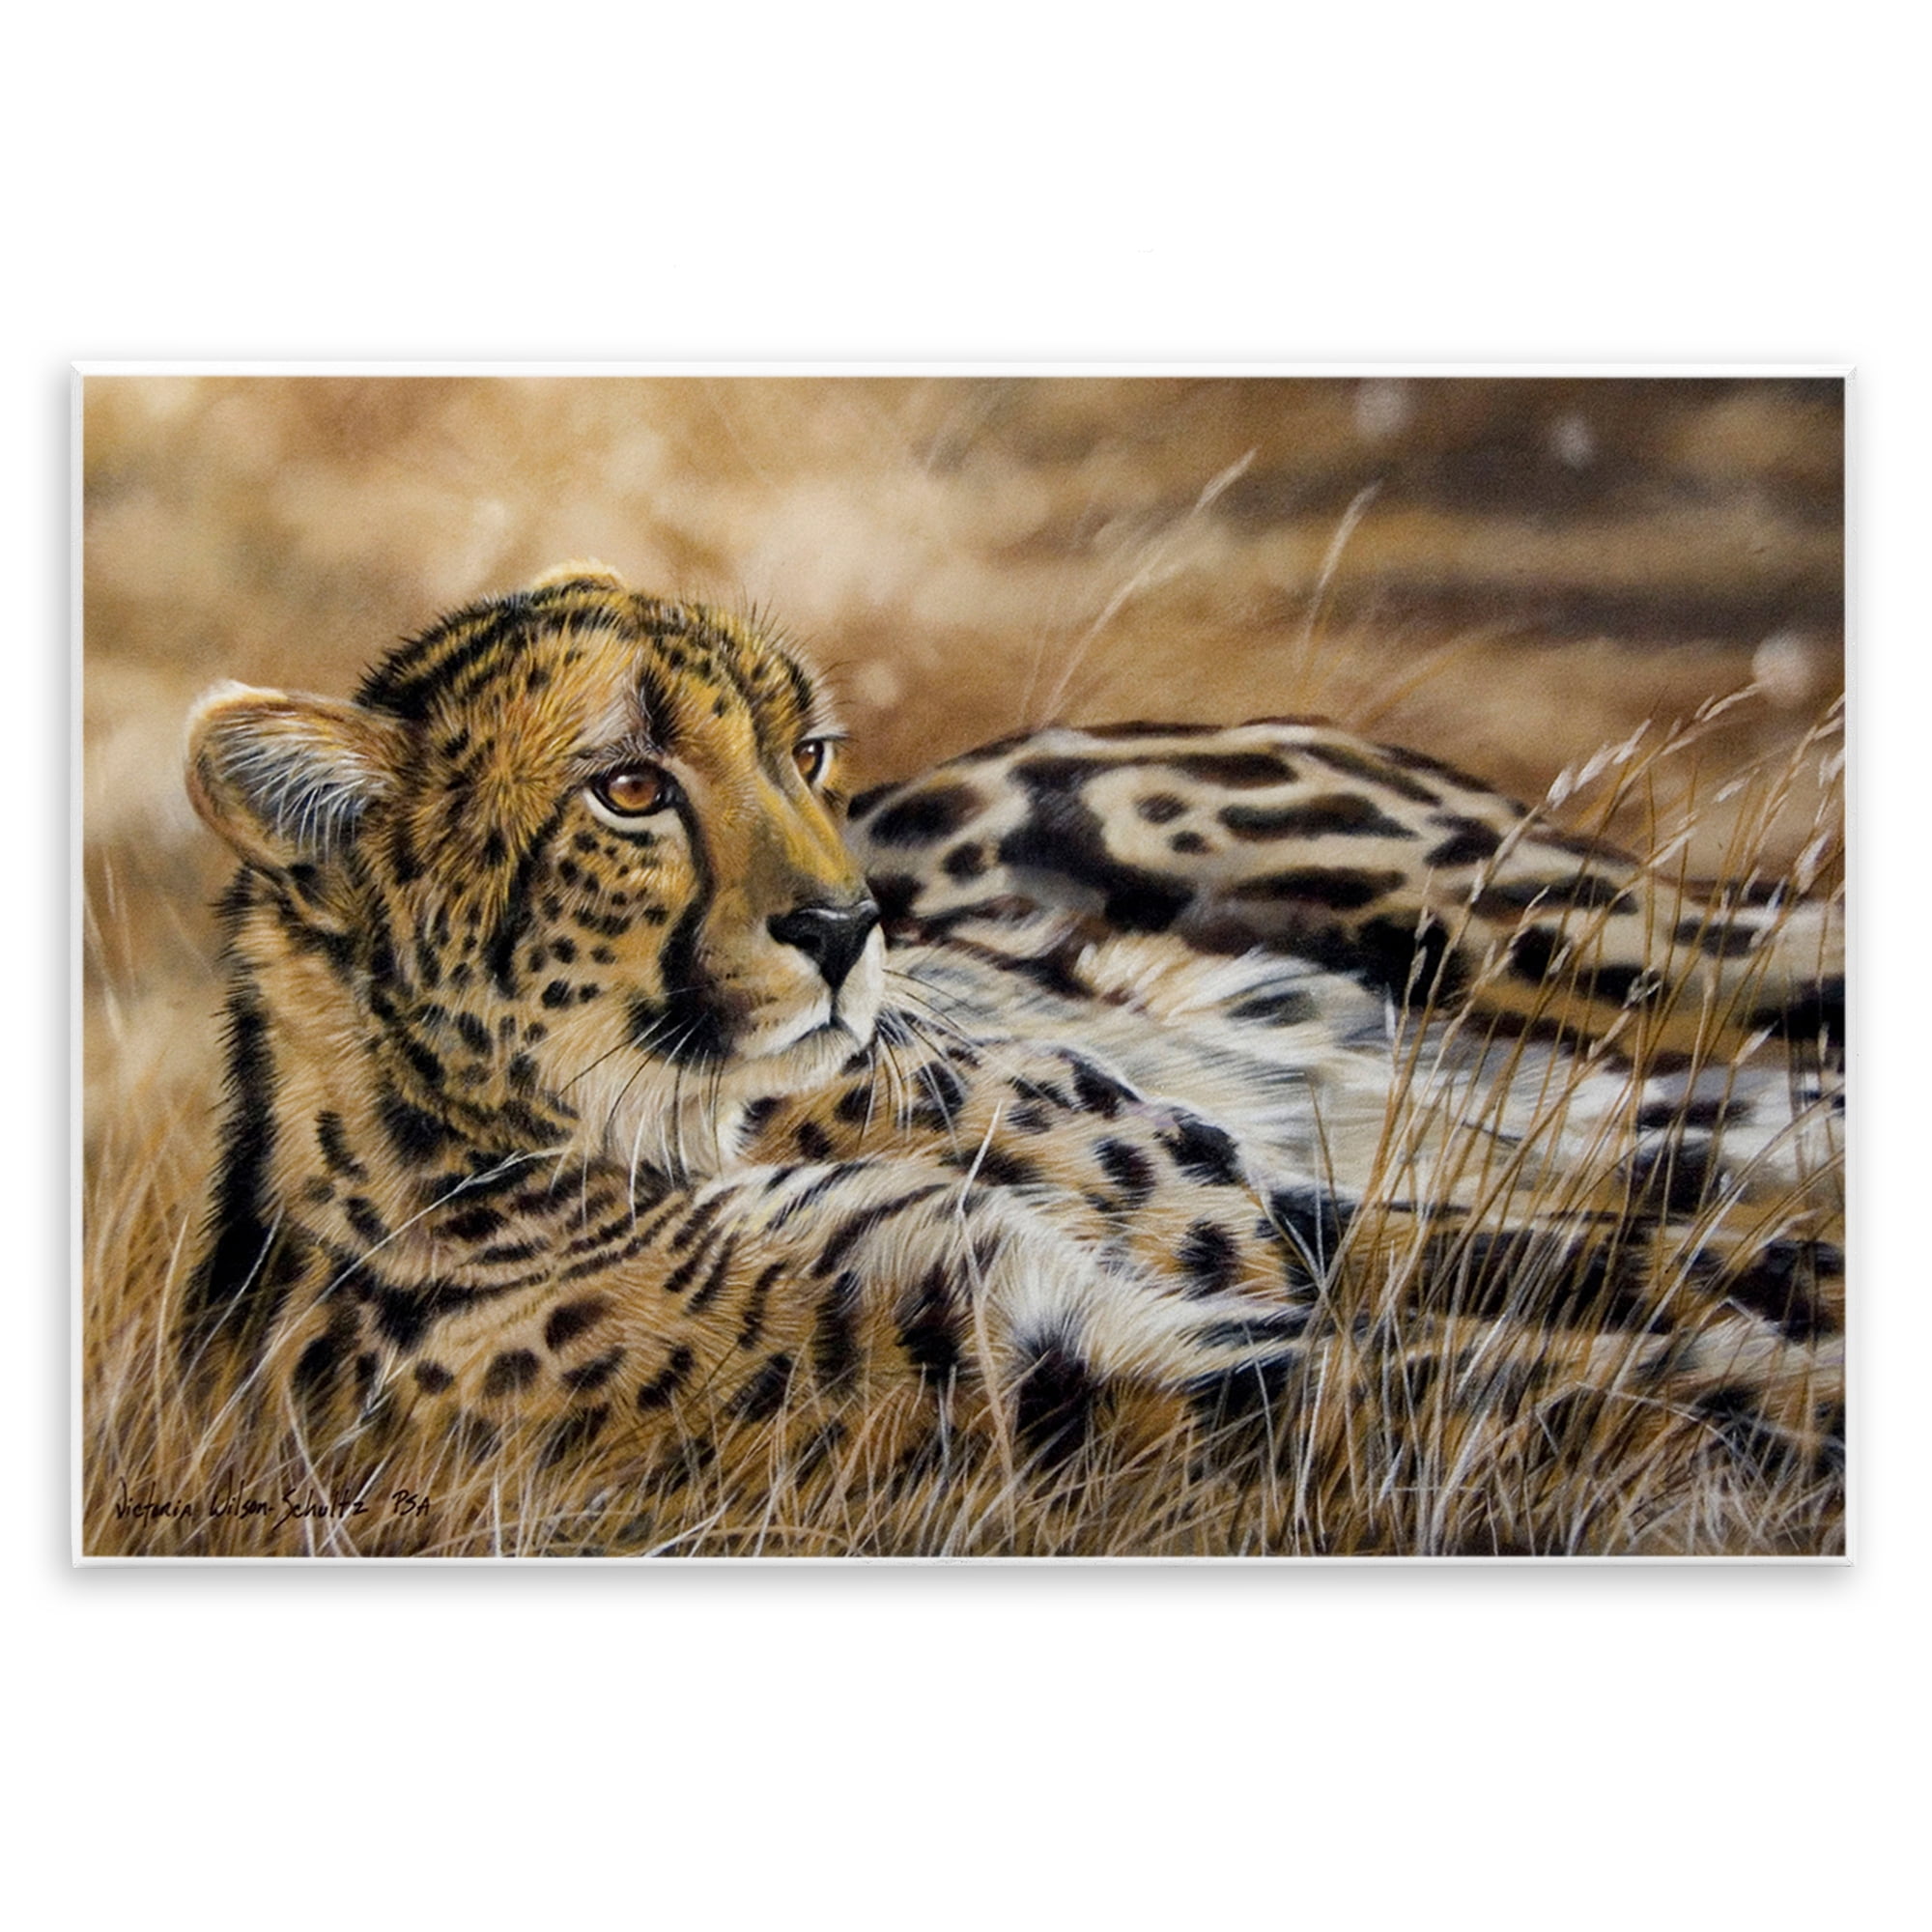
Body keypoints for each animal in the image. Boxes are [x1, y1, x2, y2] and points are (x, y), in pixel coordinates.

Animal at [165, 561, 1845, 1557]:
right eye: (629, 788)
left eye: (805, 753)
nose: (850, 922)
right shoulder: (1073, 1366)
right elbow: (1543, 1375)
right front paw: (1786, 1399)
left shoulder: (1238, 1228)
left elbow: (1604, 1283)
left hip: (1544, 924)